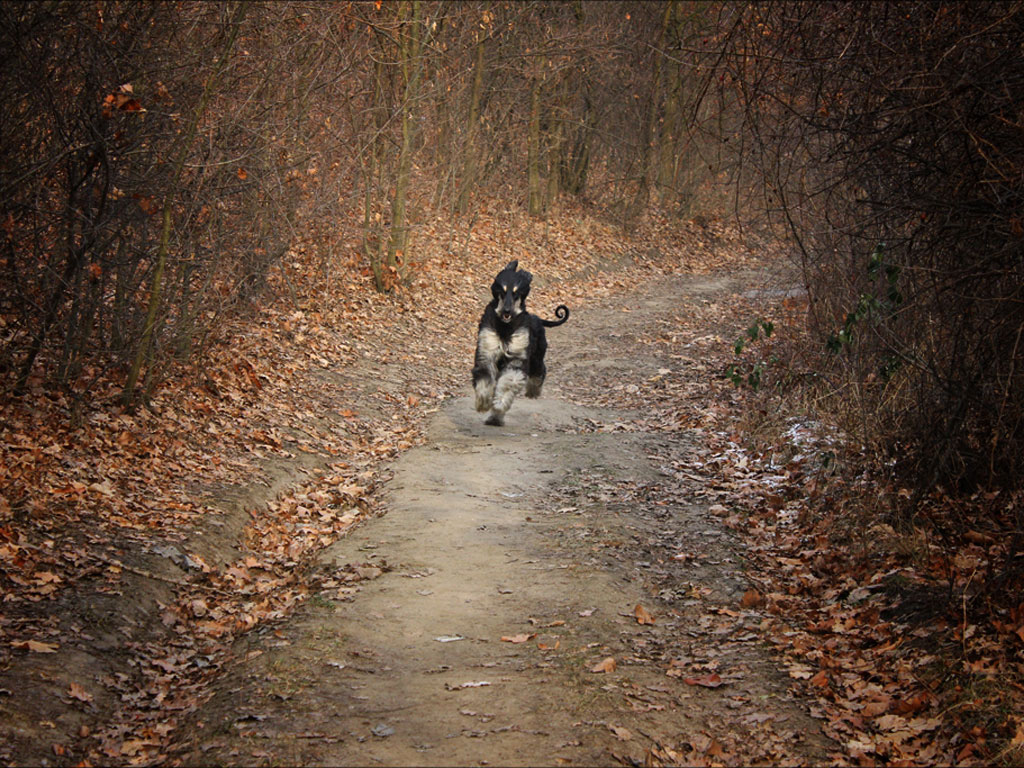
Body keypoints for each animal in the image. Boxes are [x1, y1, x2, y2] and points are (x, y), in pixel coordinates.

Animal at [471, 260, 569, 428]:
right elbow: (484, 377)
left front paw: (499, 402)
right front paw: (483, 401)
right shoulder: (487, 352)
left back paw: (533, 391)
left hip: (537, 356)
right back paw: (495, 419)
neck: (505, 327)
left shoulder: (516, 357)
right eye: (502, 290)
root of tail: (537, 318)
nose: (507, 311)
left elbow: (509, 382)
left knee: (540, 370)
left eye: (516, 292)